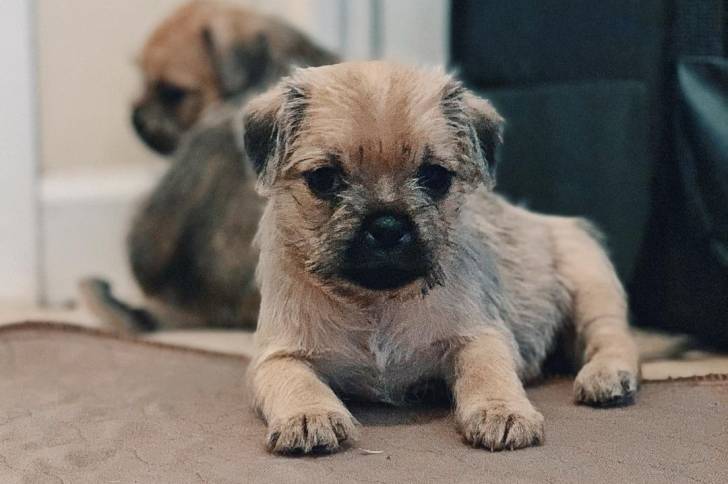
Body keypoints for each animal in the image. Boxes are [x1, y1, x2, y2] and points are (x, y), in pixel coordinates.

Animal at [242, 61, 640, 454]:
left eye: (435, 177)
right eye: (323, 179)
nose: (387, 225)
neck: (377, 303)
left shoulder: (480, 336)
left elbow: (487, 371)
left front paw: (501, 411)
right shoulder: (278, 356)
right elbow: (298, 381)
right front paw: (309, 415)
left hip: (590, 282)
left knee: (612, 337)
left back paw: (607, 374)